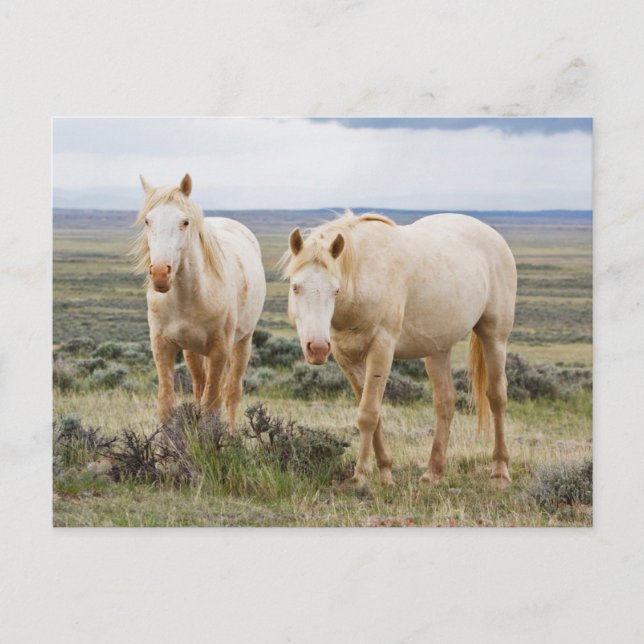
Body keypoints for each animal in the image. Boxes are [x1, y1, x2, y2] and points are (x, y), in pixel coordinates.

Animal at [133, 174, 266, 431]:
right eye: (147, 221)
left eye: (184, 222)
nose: (160, 274)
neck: (190, 298)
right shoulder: (162, 346)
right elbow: (167, 405)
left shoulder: (219, 349)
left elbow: (212, 406)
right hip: (192, 351)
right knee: (199, 386)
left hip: (243, 341)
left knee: (231, 392)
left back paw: (232, 434)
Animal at [281, 210, 517, 487]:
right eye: (295, 287)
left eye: (335, 290)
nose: (317, 348)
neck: (364, 278)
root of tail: (494, 236)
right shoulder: (346, 357)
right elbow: (373, 413)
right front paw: (385, 473)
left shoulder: (382, 348)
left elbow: (368, 413)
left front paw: (361, 476)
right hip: (438, 349)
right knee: (445, 401)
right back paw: (433, 472)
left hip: (494, 337)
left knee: (497, 397)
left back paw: (500, 471)